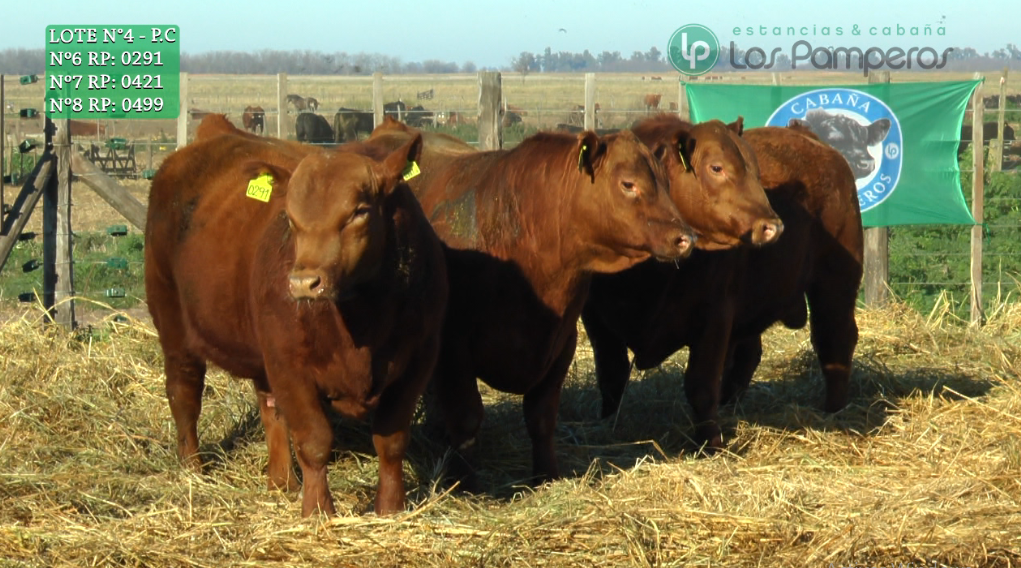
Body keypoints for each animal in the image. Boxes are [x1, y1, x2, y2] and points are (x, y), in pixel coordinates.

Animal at [146, 118, 449, 514]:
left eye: (359, 211)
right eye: (290, 218)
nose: (304, 282)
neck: (364, 316)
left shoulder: (418, 360)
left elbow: (392, 441)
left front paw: (390, 508)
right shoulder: (290, 364)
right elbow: (315, 441)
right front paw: (318, 511)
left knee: (270, 408)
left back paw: (281, 482)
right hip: (172, 319)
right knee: (184, 393)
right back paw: (192, 468)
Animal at [412, 128, 694, 488]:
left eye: (666, 183)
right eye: (628, 184)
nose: (685, 238)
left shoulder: (561, 344)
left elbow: (541, 417)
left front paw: (546, 476)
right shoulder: (454, 347)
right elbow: (466, 419)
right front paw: (465, 483)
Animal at [584, 116, 861, 453]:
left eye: (755, 169)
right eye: (716, 167)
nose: (773, 226)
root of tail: (807, 136)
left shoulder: (714, 317)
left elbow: (701, 383)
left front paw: (710, 441)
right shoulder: (598, 321)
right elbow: (611, 378)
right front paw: (609, 425)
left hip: (835, 282)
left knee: (835, 340)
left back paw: (834, 409)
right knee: (749, 354)